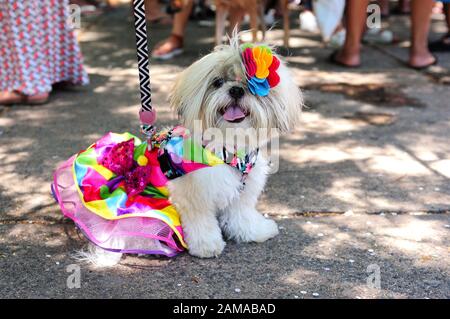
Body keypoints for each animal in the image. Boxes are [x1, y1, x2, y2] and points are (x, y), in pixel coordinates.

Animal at [83, 35, 302, 266]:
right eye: (217, 82)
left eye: (250, 87)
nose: (236, 89)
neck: (227, 151)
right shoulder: (194, 196)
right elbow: (201, 224)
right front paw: (206, 246)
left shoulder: (244, 192)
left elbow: (241, 215)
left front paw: (253, 231)